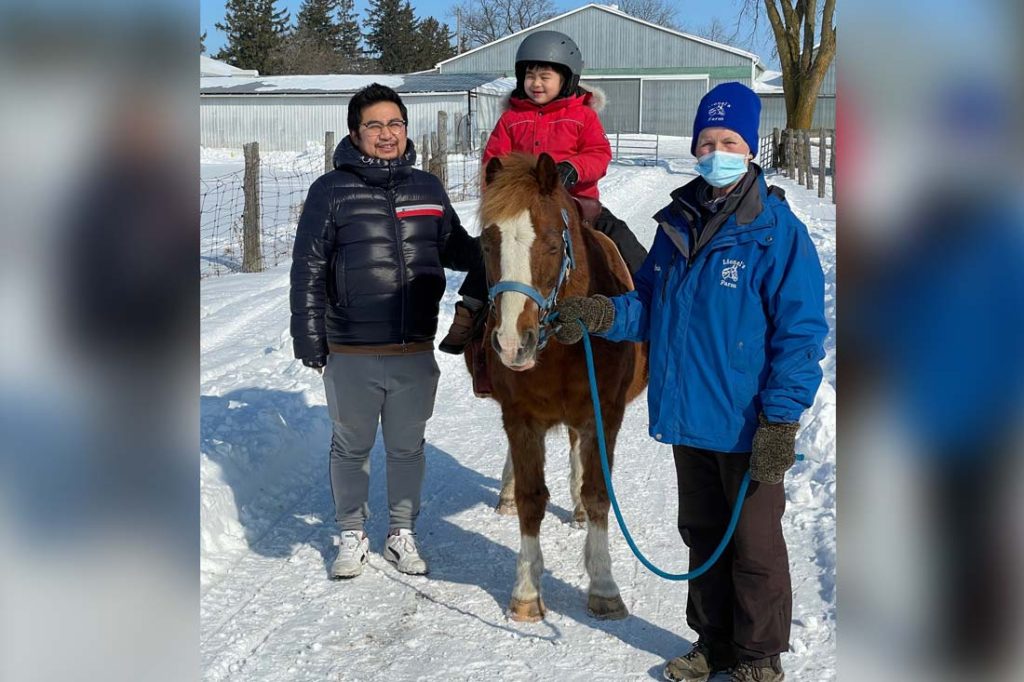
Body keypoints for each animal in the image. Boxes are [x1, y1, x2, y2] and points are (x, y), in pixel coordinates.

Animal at [471, 151, 647, 618]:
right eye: (486, 244)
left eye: (552, 245)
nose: (512, 343)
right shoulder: (520, 417)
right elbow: (532, 498)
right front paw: (526, 593)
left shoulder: (604, 415)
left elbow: (598, 492)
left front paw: (604, 587)